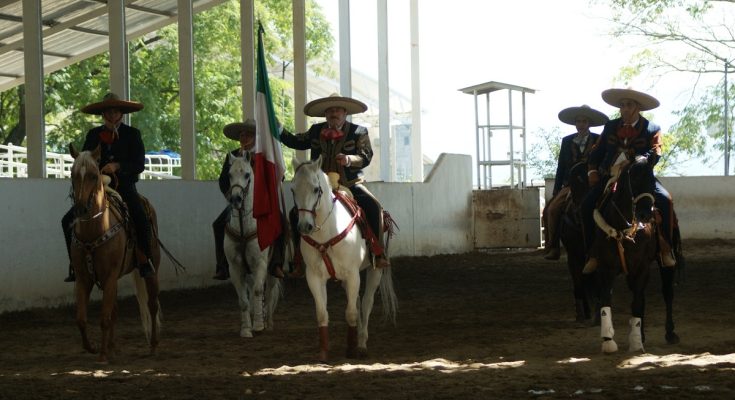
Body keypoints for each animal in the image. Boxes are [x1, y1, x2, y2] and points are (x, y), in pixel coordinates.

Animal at [224, 153, 282, 338]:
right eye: (229, 175)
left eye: (247, 174)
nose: (236, 199)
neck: (245, 226)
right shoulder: (235, 267)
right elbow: (243, 300)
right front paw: (246, 329)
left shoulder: (261, 263)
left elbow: (258, 291)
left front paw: (258, 325)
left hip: (272, 271)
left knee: (269, 293)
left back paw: (268, 322)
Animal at [292, 157, 400, 362]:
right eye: (293, 189)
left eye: (316, 189)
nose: (304, 226)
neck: (327, 232)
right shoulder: (314, 277)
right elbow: (322, 314)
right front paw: (323, 353)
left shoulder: (352, 275)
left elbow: (351, 313)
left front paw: (352, 350)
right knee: (357, 303)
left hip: (375, 271)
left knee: (365, 303)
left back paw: (362, 343)